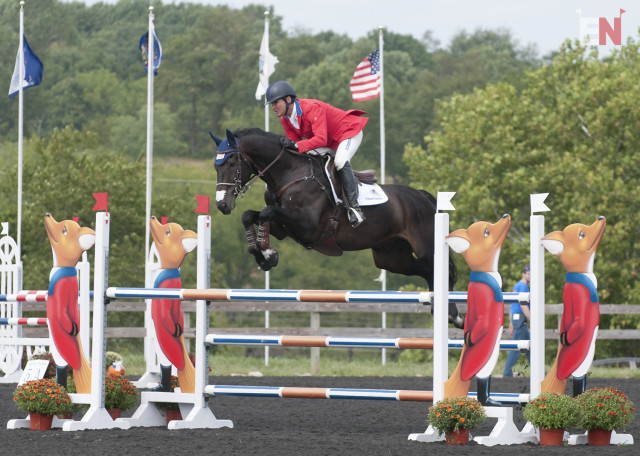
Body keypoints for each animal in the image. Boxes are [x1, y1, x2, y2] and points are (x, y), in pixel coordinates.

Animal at [212, 128, 462, 328]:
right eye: (216, 166)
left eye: (232, 163)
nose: (222, 204)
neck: (291, 174)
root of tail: (423, 196)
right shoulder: (283, 228)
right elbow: (250, 216)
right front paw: (263, 255)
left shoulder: (307, 226)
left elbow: (266, 213)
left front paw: (268, 253)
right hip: (391, 257)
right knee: (425, 271)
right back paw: (441, 310)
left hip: (425, 247)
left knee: (439, 271)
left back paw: (453, 315)